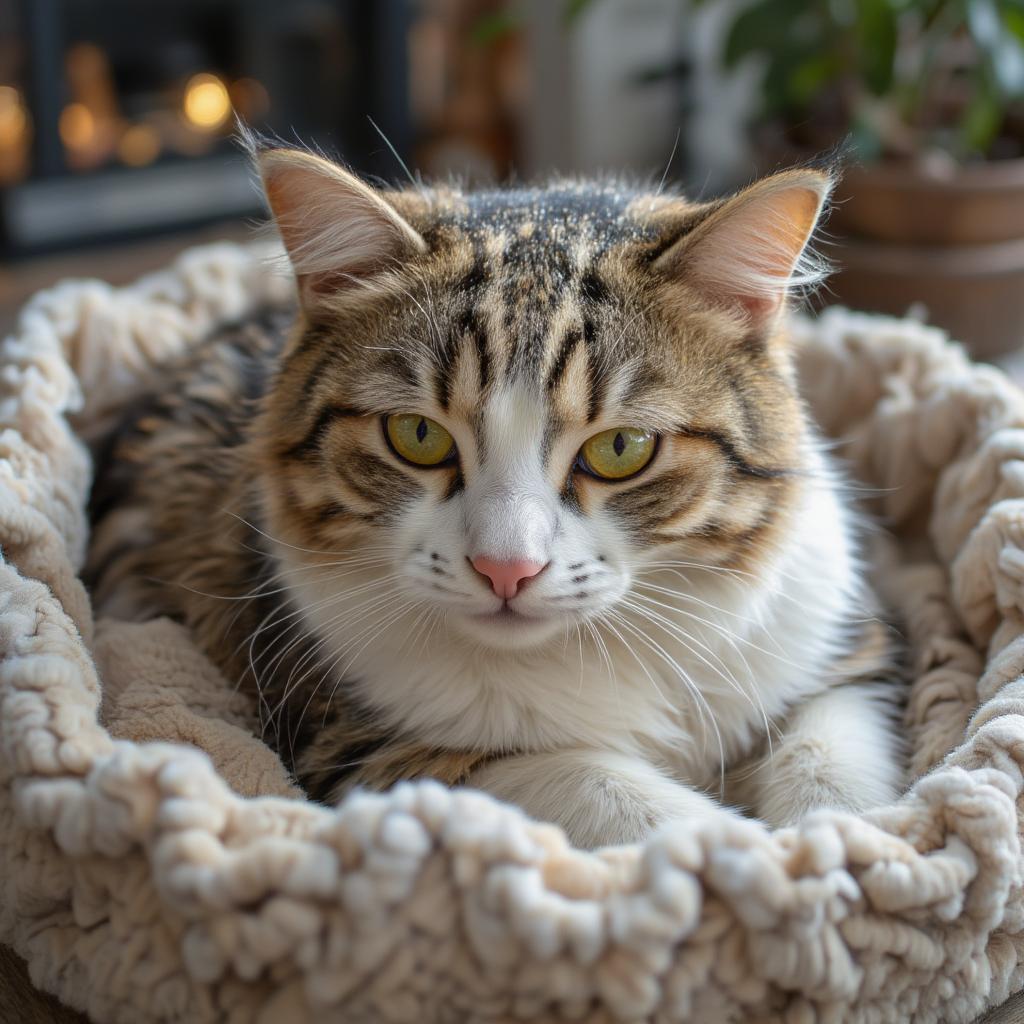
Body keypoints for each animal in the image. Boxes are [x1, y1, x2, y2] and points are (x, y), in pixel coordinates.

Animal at [88, 142, 905, 847]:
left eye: (620, 449)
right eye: (417, 435)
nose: (505, 569)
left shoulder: (848, 646)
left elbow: (832, 760)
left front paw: (839, 848)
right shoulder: (358, 740)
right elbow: (602, 788)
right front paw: (749, 854)